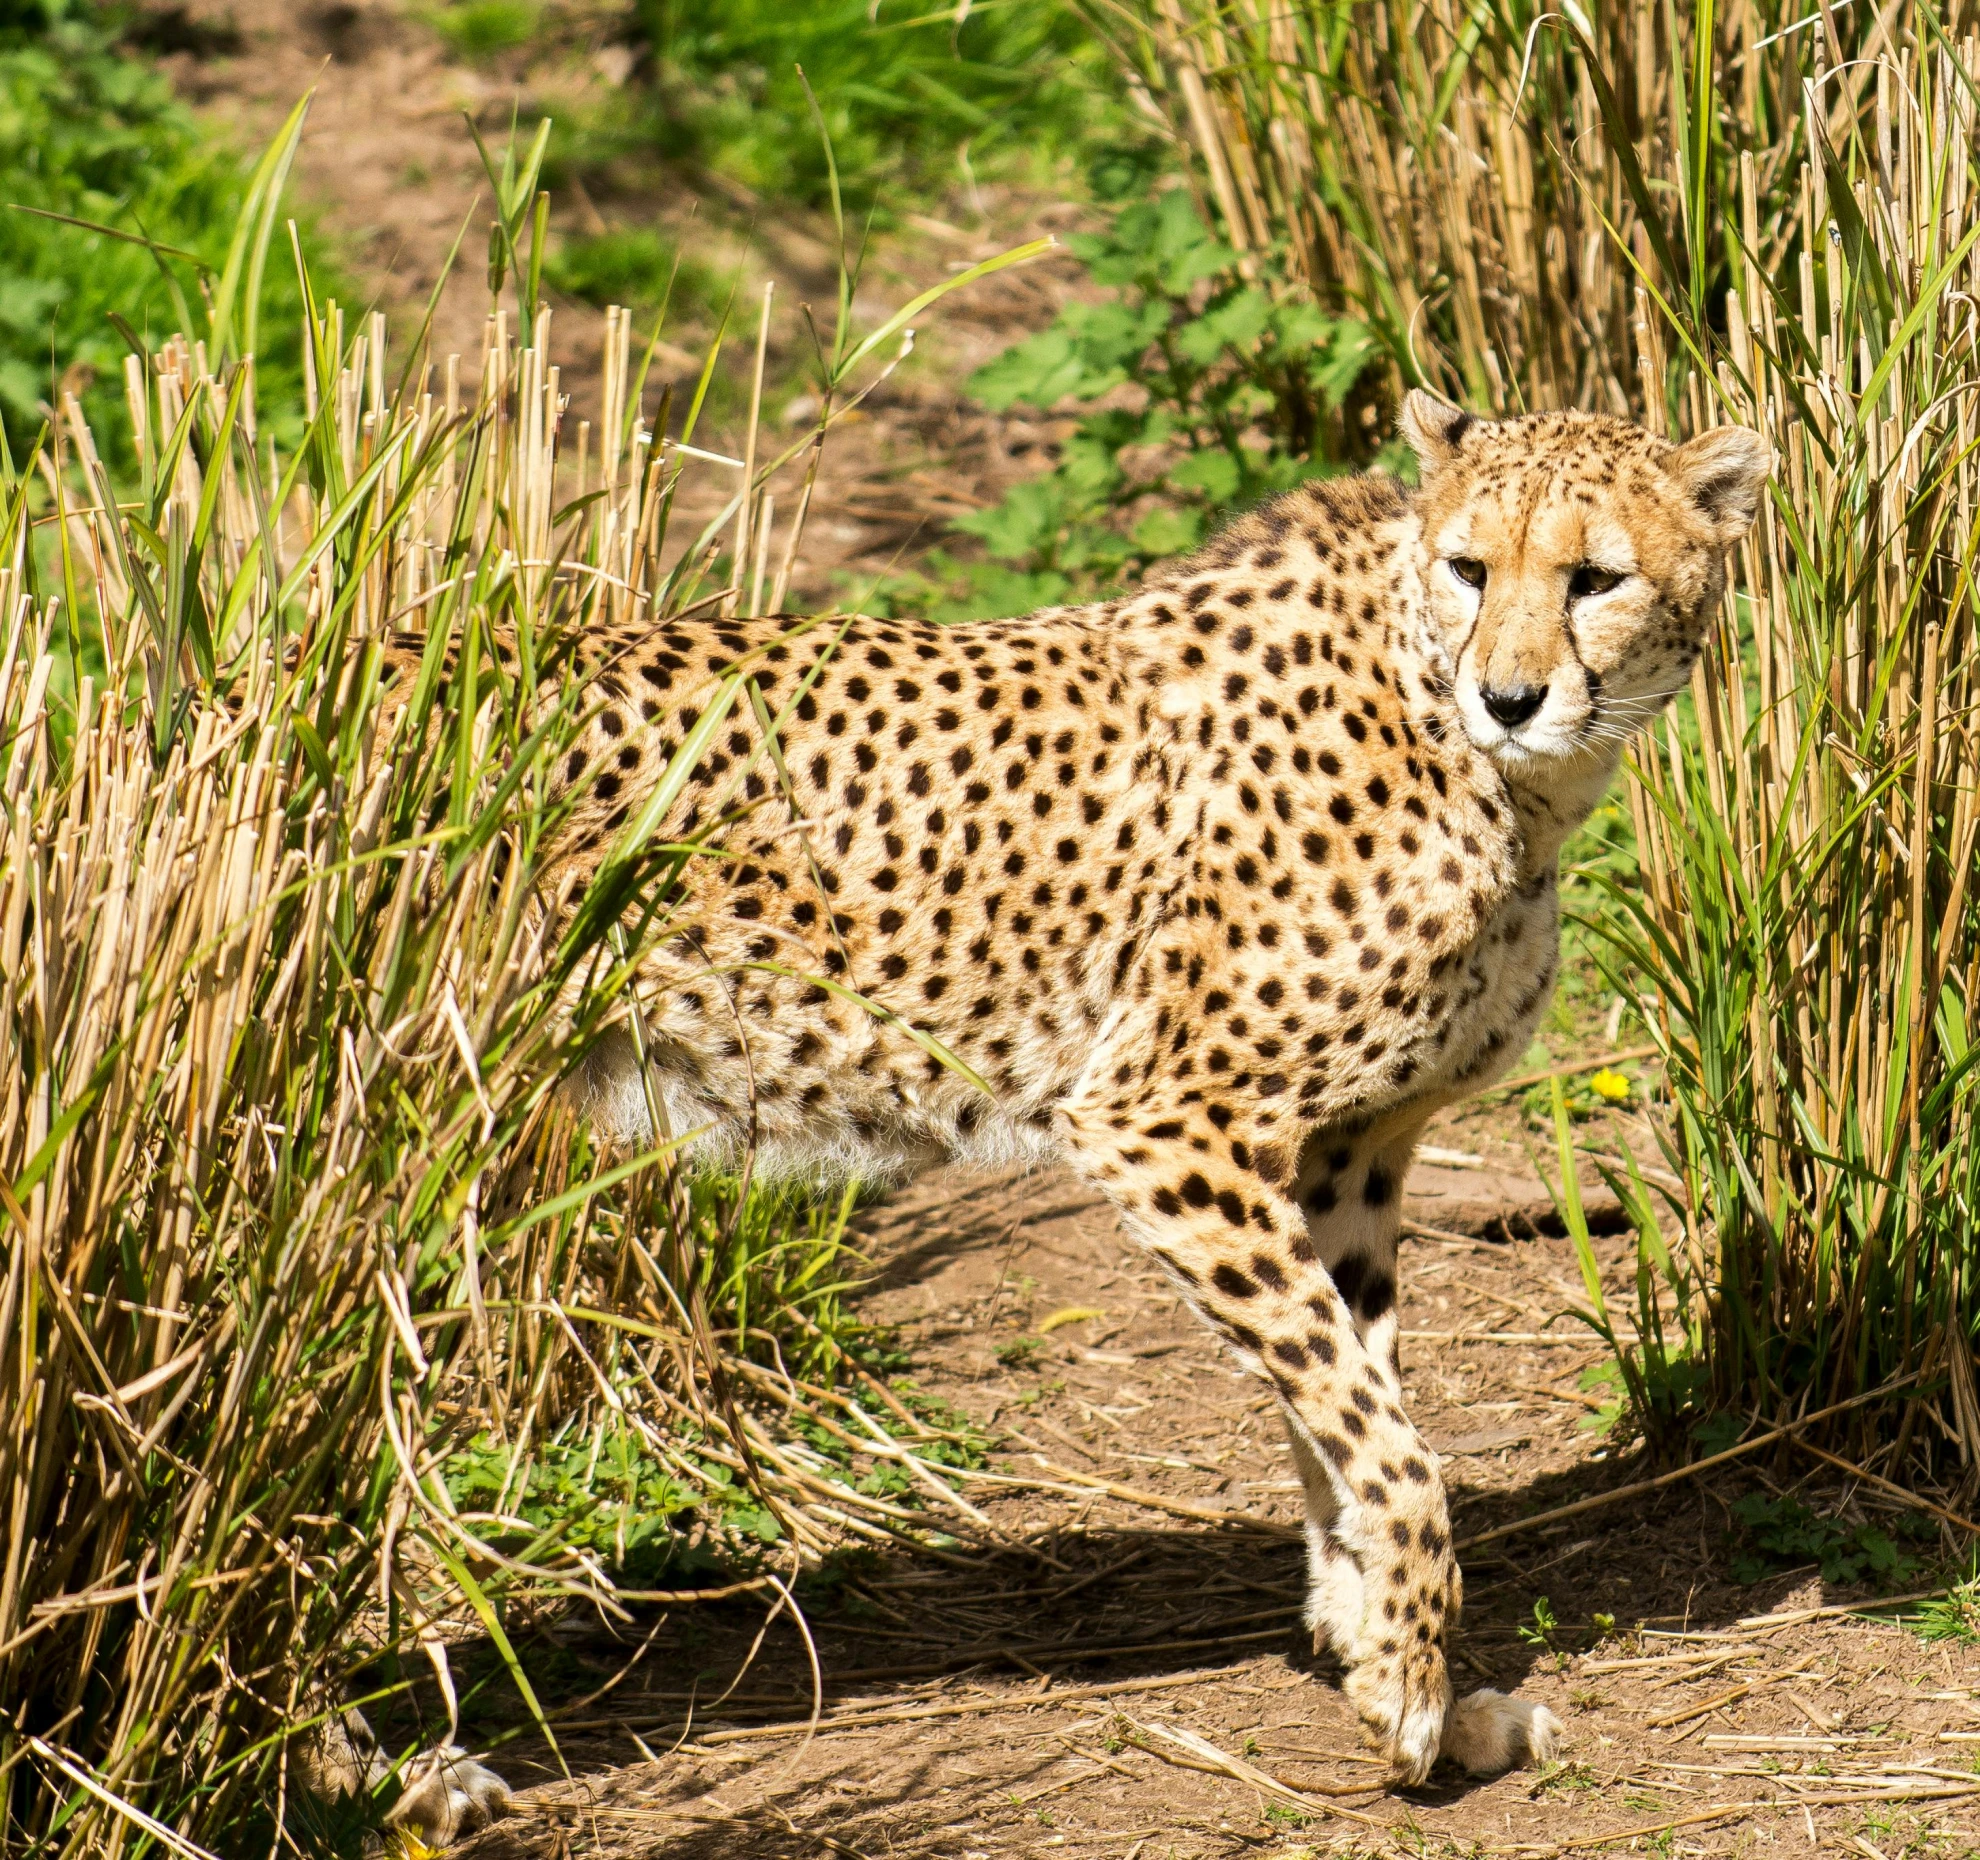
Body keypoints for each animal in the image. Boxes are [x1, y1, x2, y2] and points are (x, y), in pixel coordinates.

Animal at [394, 396, 1774, 1806]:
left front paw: (1390, 1666)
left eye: (1595, 577)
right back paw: (403, 1773)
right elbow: (1388, 1445)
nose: (1510, 696)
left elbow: (1346, 1411)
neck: (1463, 742)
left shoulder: (1346, 1150)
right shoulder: (1164, 1118)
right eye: (1472, 567)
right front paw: (1409, 1694)